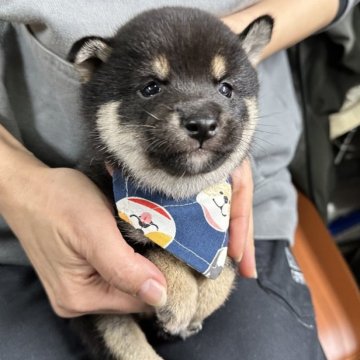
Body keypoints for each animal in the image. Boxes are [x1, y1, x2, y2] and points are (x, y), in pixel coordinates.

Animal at [68, 6, 272, 360]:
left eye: (226, 88)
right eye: (151, 87)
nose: (202, 123)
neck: (181, 201)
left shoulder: (228, 232)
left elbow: (225, 268)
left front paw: (205, 300)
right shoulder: (122, 233)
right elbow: (157, 251)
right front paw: (180, 296)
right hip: (103, 320)